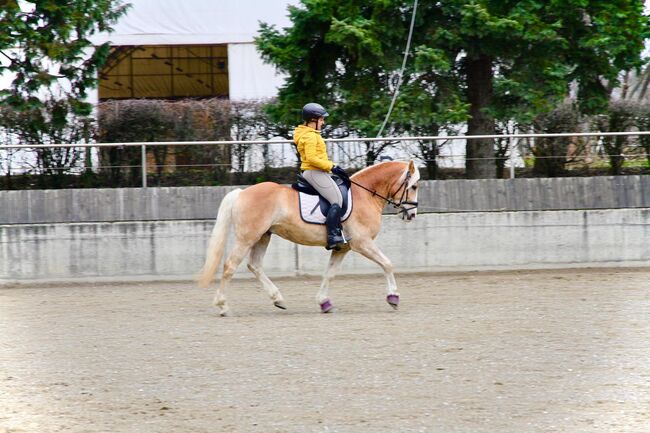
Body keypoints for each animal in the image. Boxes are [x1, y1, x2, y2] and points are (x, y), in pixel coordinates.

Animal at [197, 159, 420, 314]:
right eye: (414, 186)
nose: (412, 215)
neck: (365, 195)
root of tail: (242, 193)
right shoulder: (361, 243)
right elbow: (387, 263)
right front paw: (393, 298)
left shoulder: (343, 247)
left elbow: (329, 274)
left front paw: (324, 303)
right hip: (247, 237)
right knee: (230, 266)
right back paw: (223, 306)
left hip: (263, 236)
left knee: (255, 265)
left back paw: (278, 299)